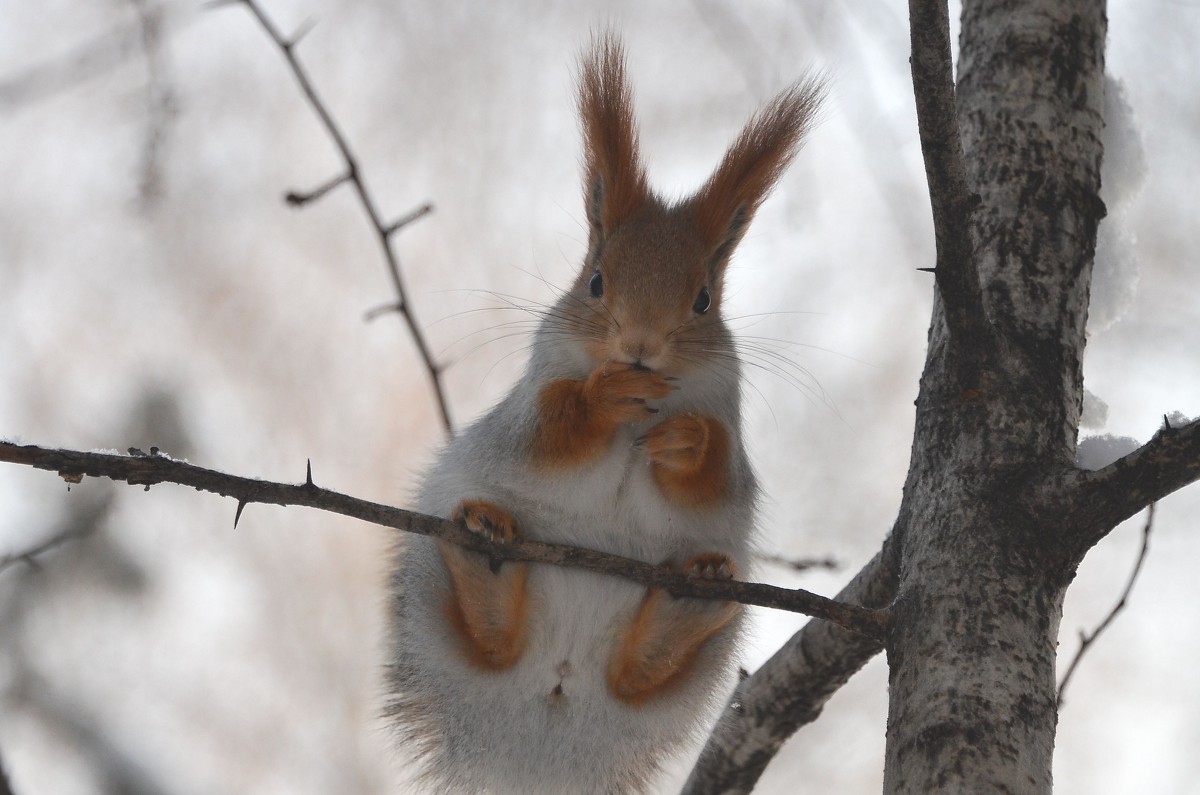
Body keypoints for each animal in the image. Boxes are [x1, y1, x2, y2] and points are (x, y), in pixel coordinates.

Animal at [388, 31, 820, 795]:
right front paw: (602, 398)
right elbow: (547, 433)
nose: (639, 348)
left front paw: (685, 440)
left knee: (635, 678)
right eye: (594, 281)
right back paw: (485, 556)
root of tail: (543, 733)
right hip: (424, 577)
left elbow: (719, 478)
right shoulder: (533, 396)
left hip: (699, 658)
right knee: (490, 645)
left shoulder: (729, 410)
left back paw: (688, 601)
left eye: (704, 299)